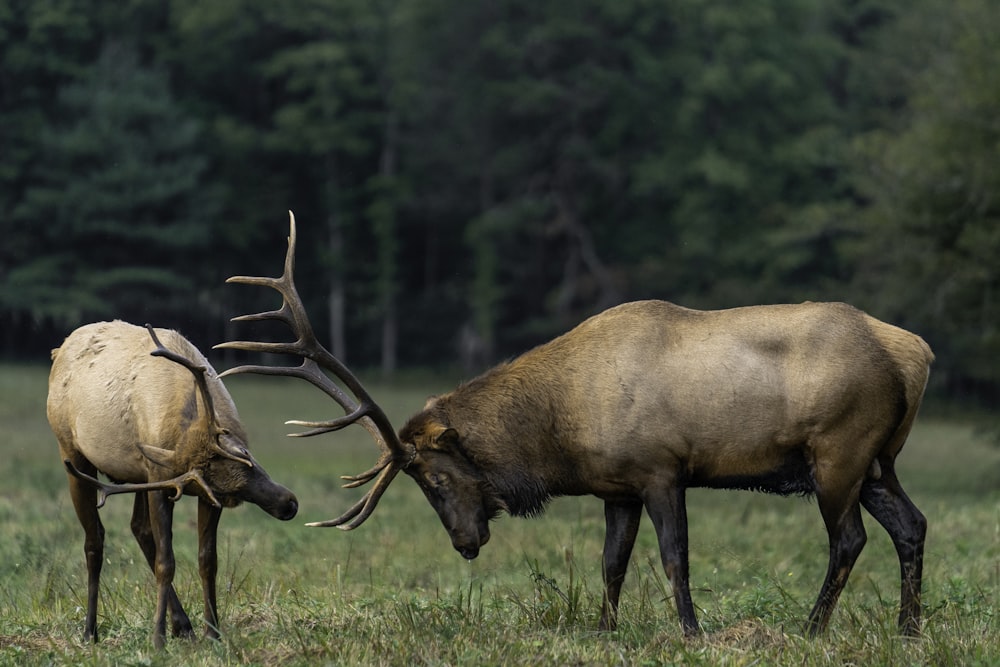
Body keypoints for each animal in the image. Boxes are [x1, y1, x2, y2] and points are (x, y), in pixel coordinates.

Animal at [47, 320, 296, 648]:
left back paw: (183, 625)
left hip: (138, 476)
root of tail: (58, 350)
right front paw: (158, 638)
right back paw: (90, 631)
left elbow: (208, 559)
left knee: (139, 528)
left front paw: (213, 632)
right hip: (72, 454)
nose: (288, 504)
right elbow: (167, 561)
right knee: (94, 540)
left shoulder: (187, 487)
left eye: (245, 454)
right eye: (232, 490)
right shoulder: (160, 477)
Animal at [217, 213, 928, 636]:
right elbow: (611, 563)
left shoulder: (662, 469)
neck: (562, 433)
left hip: (837, 452)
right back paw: (908, 627)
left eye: (436, 481)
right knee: (912, 525)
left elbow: (675, 557)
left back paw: (812, 628)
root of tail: (916, 353)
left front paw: (691, 632)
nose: (465, 544)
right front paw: (606, 631)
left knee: (850, 540)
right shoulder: (618, 488)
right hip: (878, 461)